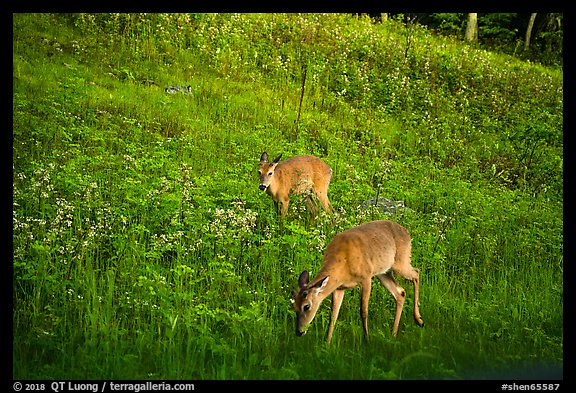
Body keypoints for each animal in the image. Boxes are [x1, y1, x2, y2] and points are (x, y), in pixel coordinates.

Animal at [292, 219, 424, 344]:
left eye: (306, 306)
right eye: (294, 306)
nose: (299, 332)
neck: (343, 263)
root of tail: (406, 232)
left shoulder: (366, 278)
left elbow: (363, 312)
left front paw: (367, 341)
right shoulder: (339, 288)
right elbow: (333, 315)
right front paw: (327, 344)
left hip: (400, 262)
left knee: (416, 272)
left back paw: (419, 320)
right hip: (383, 272)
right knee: (400, 292)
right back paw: (393, 334)